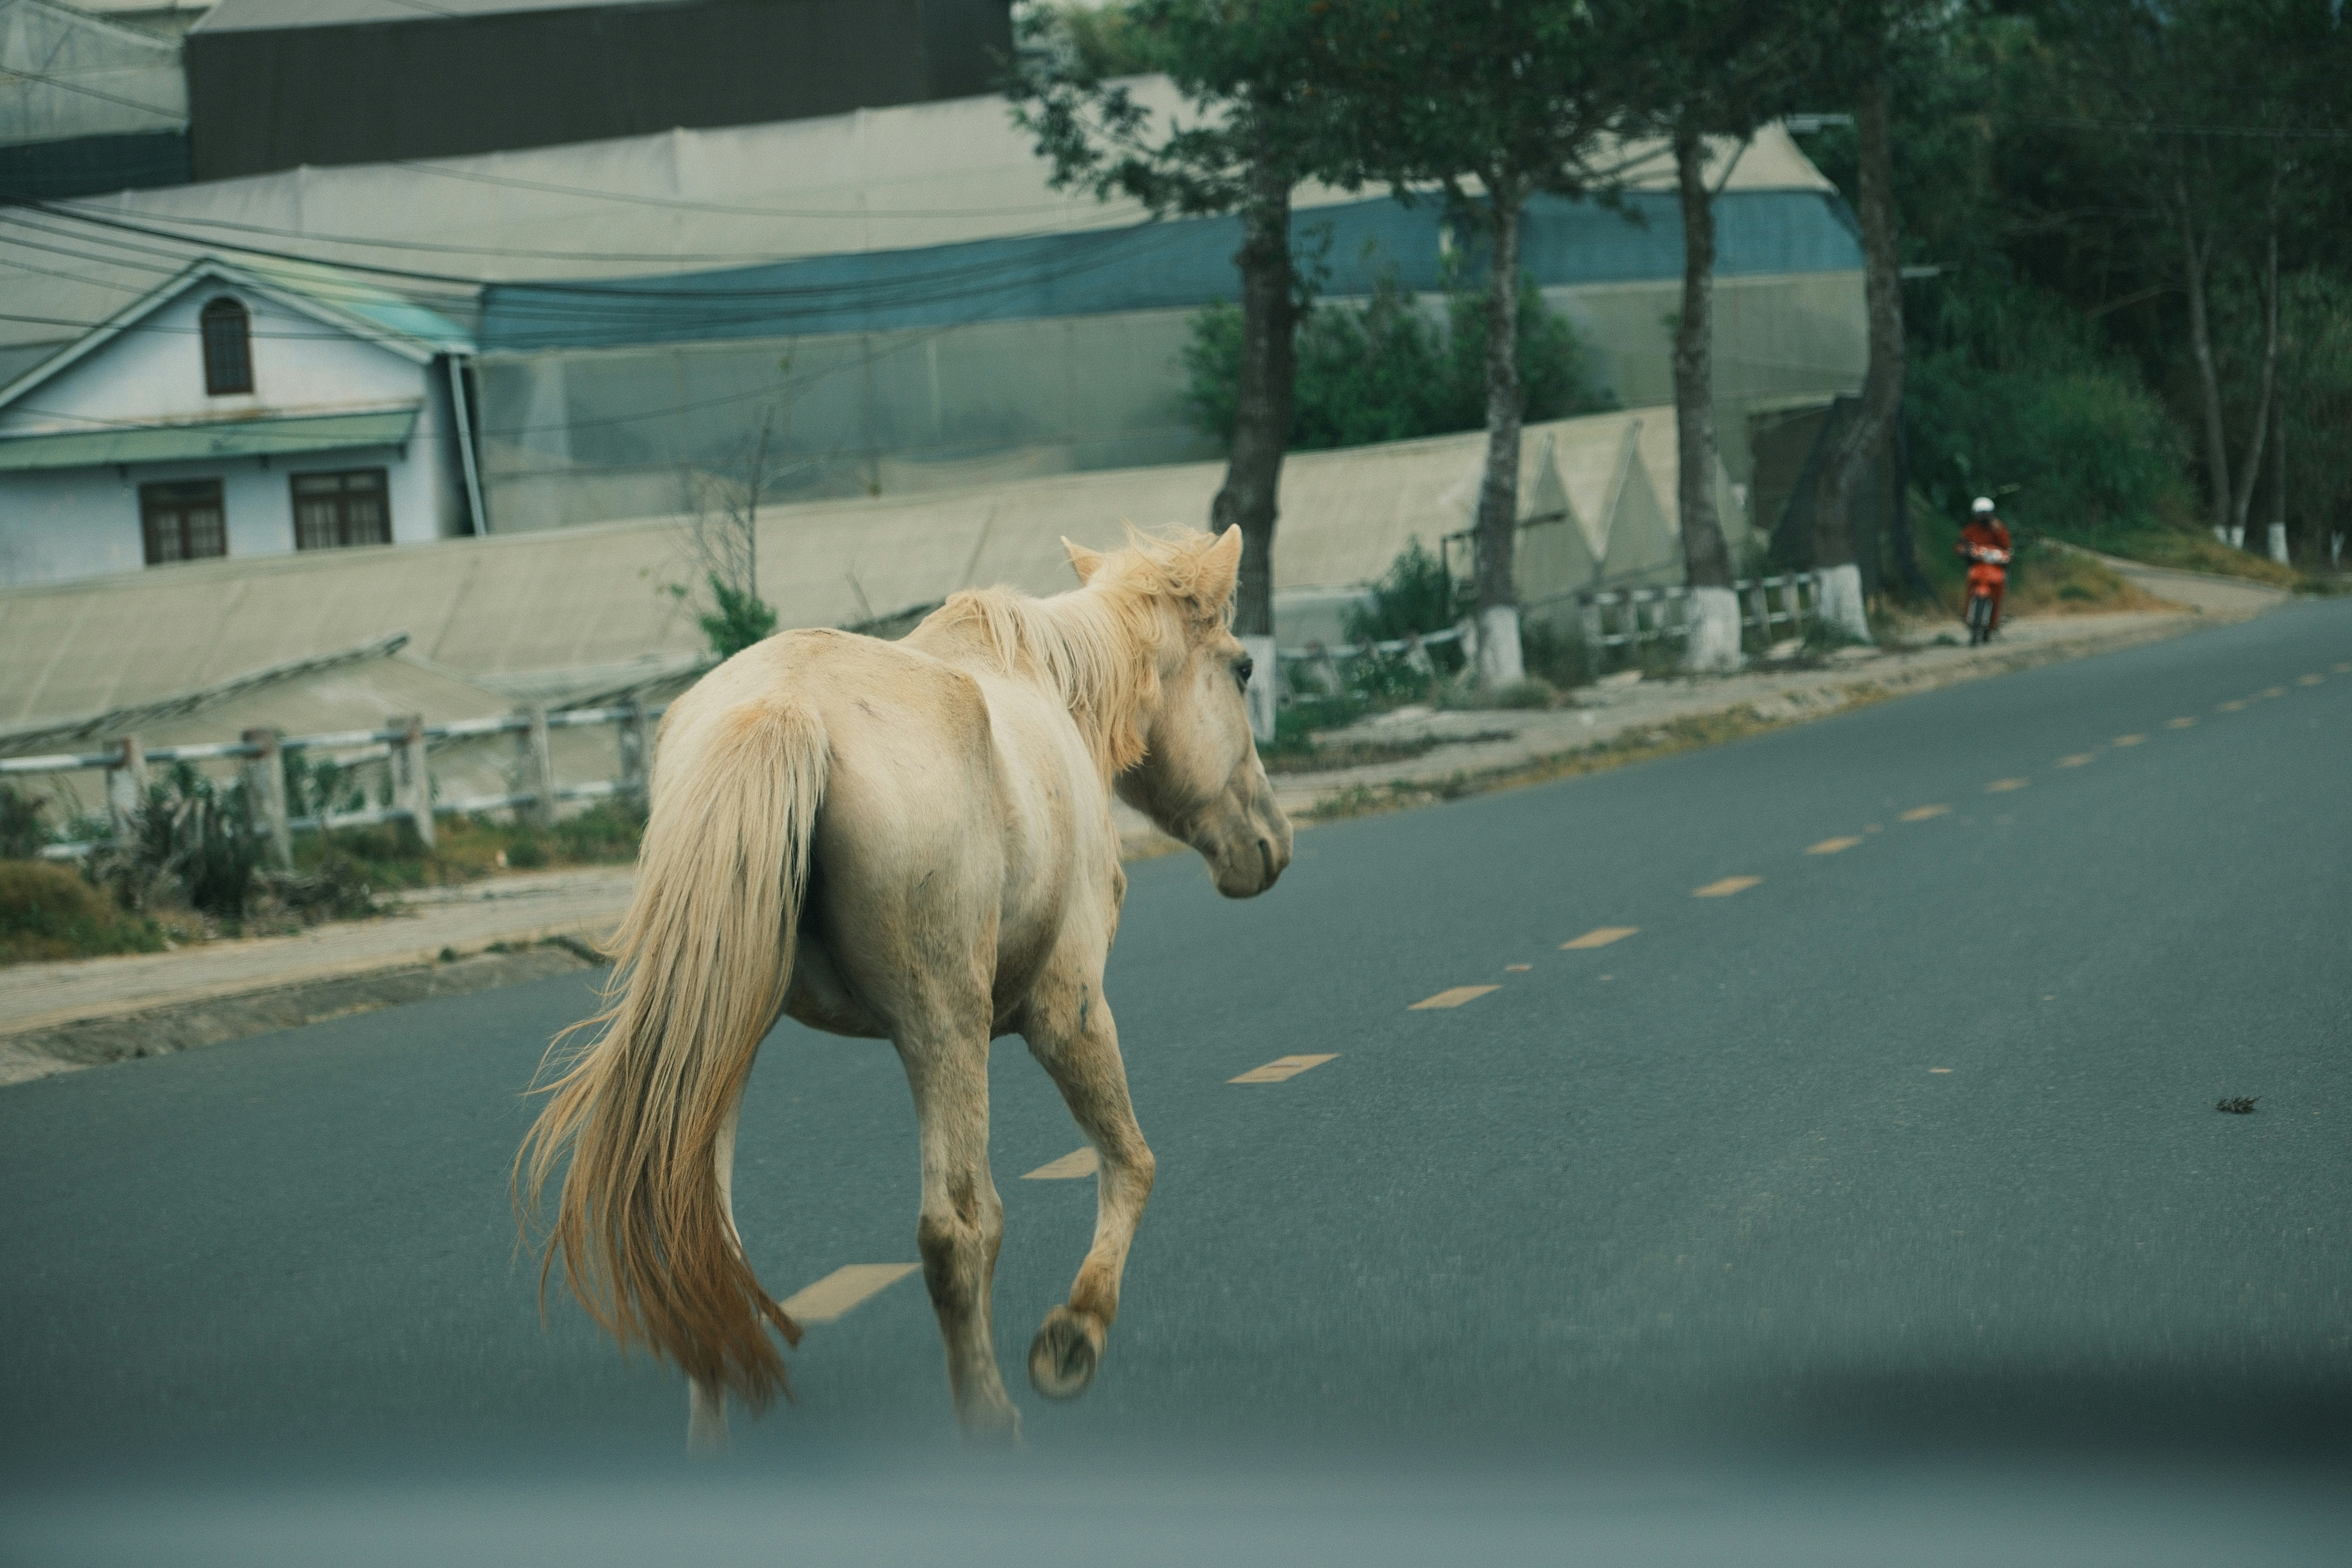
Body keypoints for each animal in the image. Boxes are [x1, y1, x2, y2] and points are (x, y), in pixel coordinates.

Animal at [516, 525, 1292, 1446]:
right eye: (1242, 668)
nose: (1270, 843)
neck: (1053, 685)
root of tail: (782, 708)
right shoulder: (1068, 1009)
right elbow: (1130, 1163)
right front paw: (1075, 1333)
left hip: (718, 1044)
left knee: (699, 1240)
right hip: (942, 1029)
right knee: (957, 1231)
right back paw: (989, 1422)